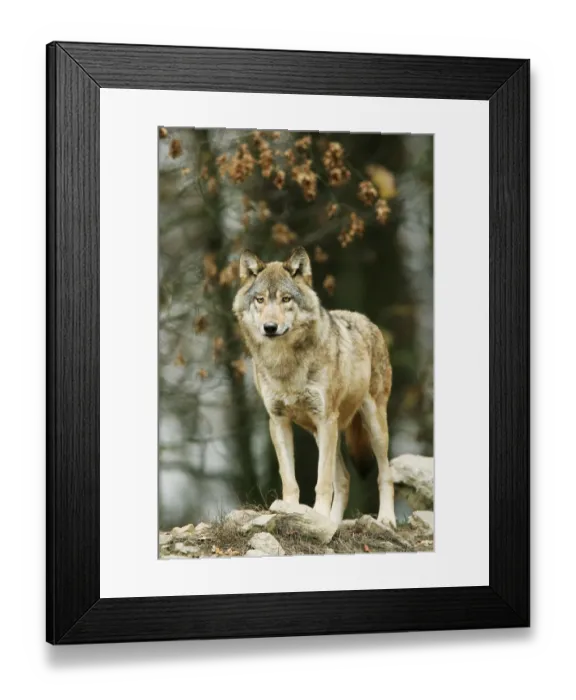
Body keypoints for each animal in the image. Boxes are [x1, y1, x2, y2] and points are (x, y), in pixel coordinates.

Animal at [232, 246, 396, 527]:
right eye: (260, 300)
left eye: (286, 299)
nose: (270, 327)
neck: (285, 364)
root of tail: (364, 318)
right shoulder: (278, 422)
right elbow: (289, 479)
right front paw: (291, 510)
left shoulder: (325, 418)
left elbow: (322, 481)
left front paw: (317, 514)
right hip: (323, 434)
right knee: (344, 479)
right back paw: (332, 523)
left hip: (371, 427)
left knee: (385, 474)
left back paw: (386, 519)